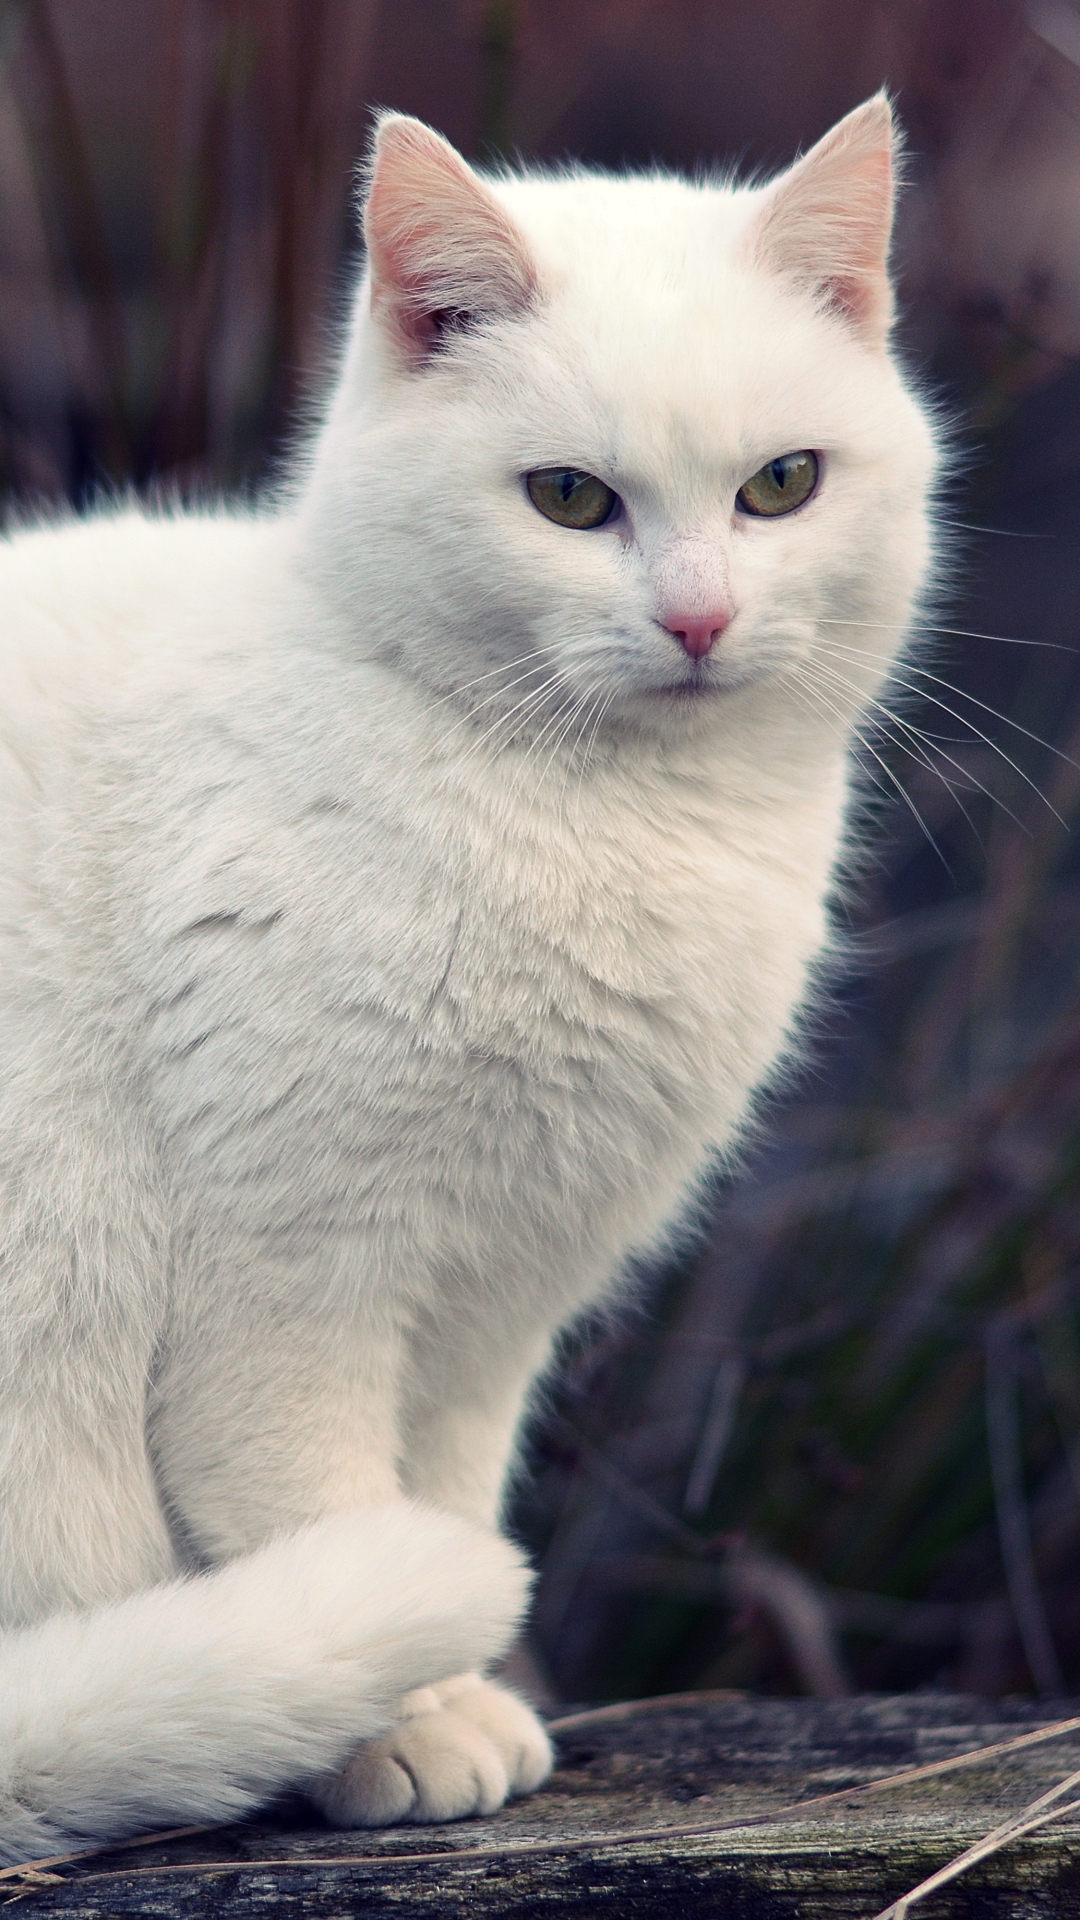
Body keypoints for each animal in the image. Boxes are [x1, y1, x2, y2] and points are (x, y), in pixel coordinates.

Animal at [0, 93, 930, 1858]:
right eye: (568, 500)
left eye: (782, 486)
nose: (700, 620)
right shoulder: (284, 1281)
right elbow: (312, 1508)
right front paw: (398, 1731)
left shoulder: (494, 1307)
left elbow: (437, 1492)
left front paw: (441, 1710)